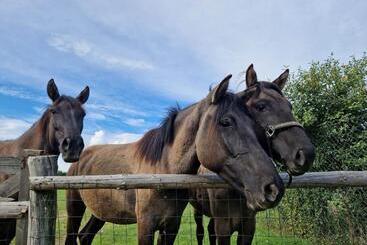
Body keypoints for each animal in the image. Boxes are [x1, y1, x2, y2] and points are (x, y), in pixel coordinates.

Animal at [65, 74, 284, 245]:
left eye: (253, 124)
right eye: (226, 121)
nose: (273, 189)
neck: (162, 172)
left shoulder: (171, 226)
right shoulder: (145, 226)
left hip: (99, 212)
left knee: (85, 236)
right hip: (74, 208)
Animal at [190, 64, 316, 245]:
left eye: (289, 106)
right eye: (261, 106)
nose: (306, 154)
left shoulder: (248, 227)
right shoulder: (223, 228)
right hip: (197, 210)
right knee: (200, 231)